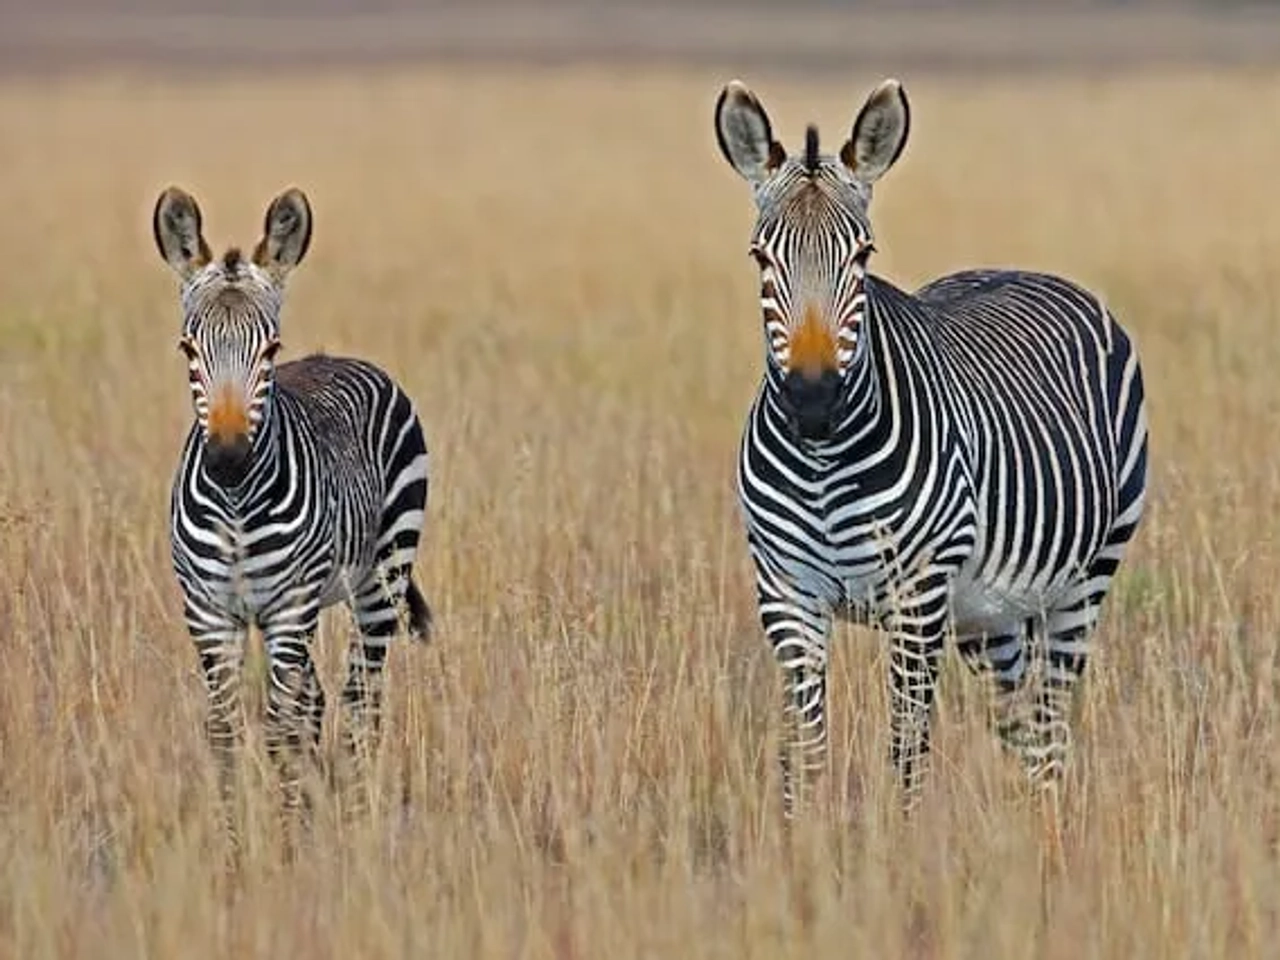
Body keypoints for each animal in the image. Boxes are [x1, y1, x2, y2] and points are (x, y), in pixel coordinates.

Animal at [153, 186, 432, 836]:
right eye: (188, 348)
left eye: (271, 350)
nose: (229, 459)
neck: (235, 506)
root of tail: (342, 358)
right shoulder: (208, 613)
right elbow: (226, 730)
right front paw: (234, 842)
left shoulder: (287, 610)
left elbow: (279, 729)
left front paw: (284, 842)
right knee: (320, 700)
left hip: (381, 581)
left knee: (359, 700)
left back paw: (355, 816)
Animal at [713, 79, 1149, 818]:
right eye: (760, 258)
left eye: (863, 256)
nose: (812, 400)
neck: (823, 464)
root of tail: (1023, 267)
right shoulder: (786, 595)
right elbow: (805, 755)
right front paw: (797, 844)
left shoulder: (917, 597)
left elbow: (904, 754)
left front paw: (900, 843)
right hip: (989, 614)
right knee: (1020, 723)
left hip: (1085, 580)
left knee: (1051, 727)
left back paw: (1050, 830)